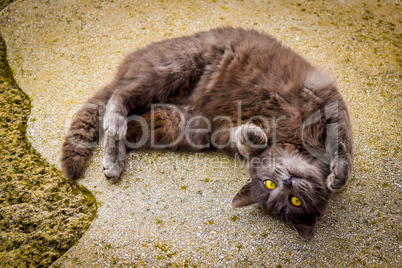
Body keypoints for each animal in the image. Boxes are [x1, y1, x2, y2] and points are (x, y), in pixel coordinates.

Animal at [61, 26, 354, 239]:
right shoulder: (324, 97)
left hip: (177, 125)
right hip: (178, 65)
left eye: (294, 201)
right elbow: (343, 142)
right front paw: (337, 176)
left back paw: (114, 161)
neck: (292, 141)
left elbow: (238, 139)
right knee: (121, 96)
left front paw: (254, 140)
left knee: (131, 124)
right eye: (270, 184)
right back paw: (115, 125)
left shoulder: (220, 131)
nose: (288, 180)